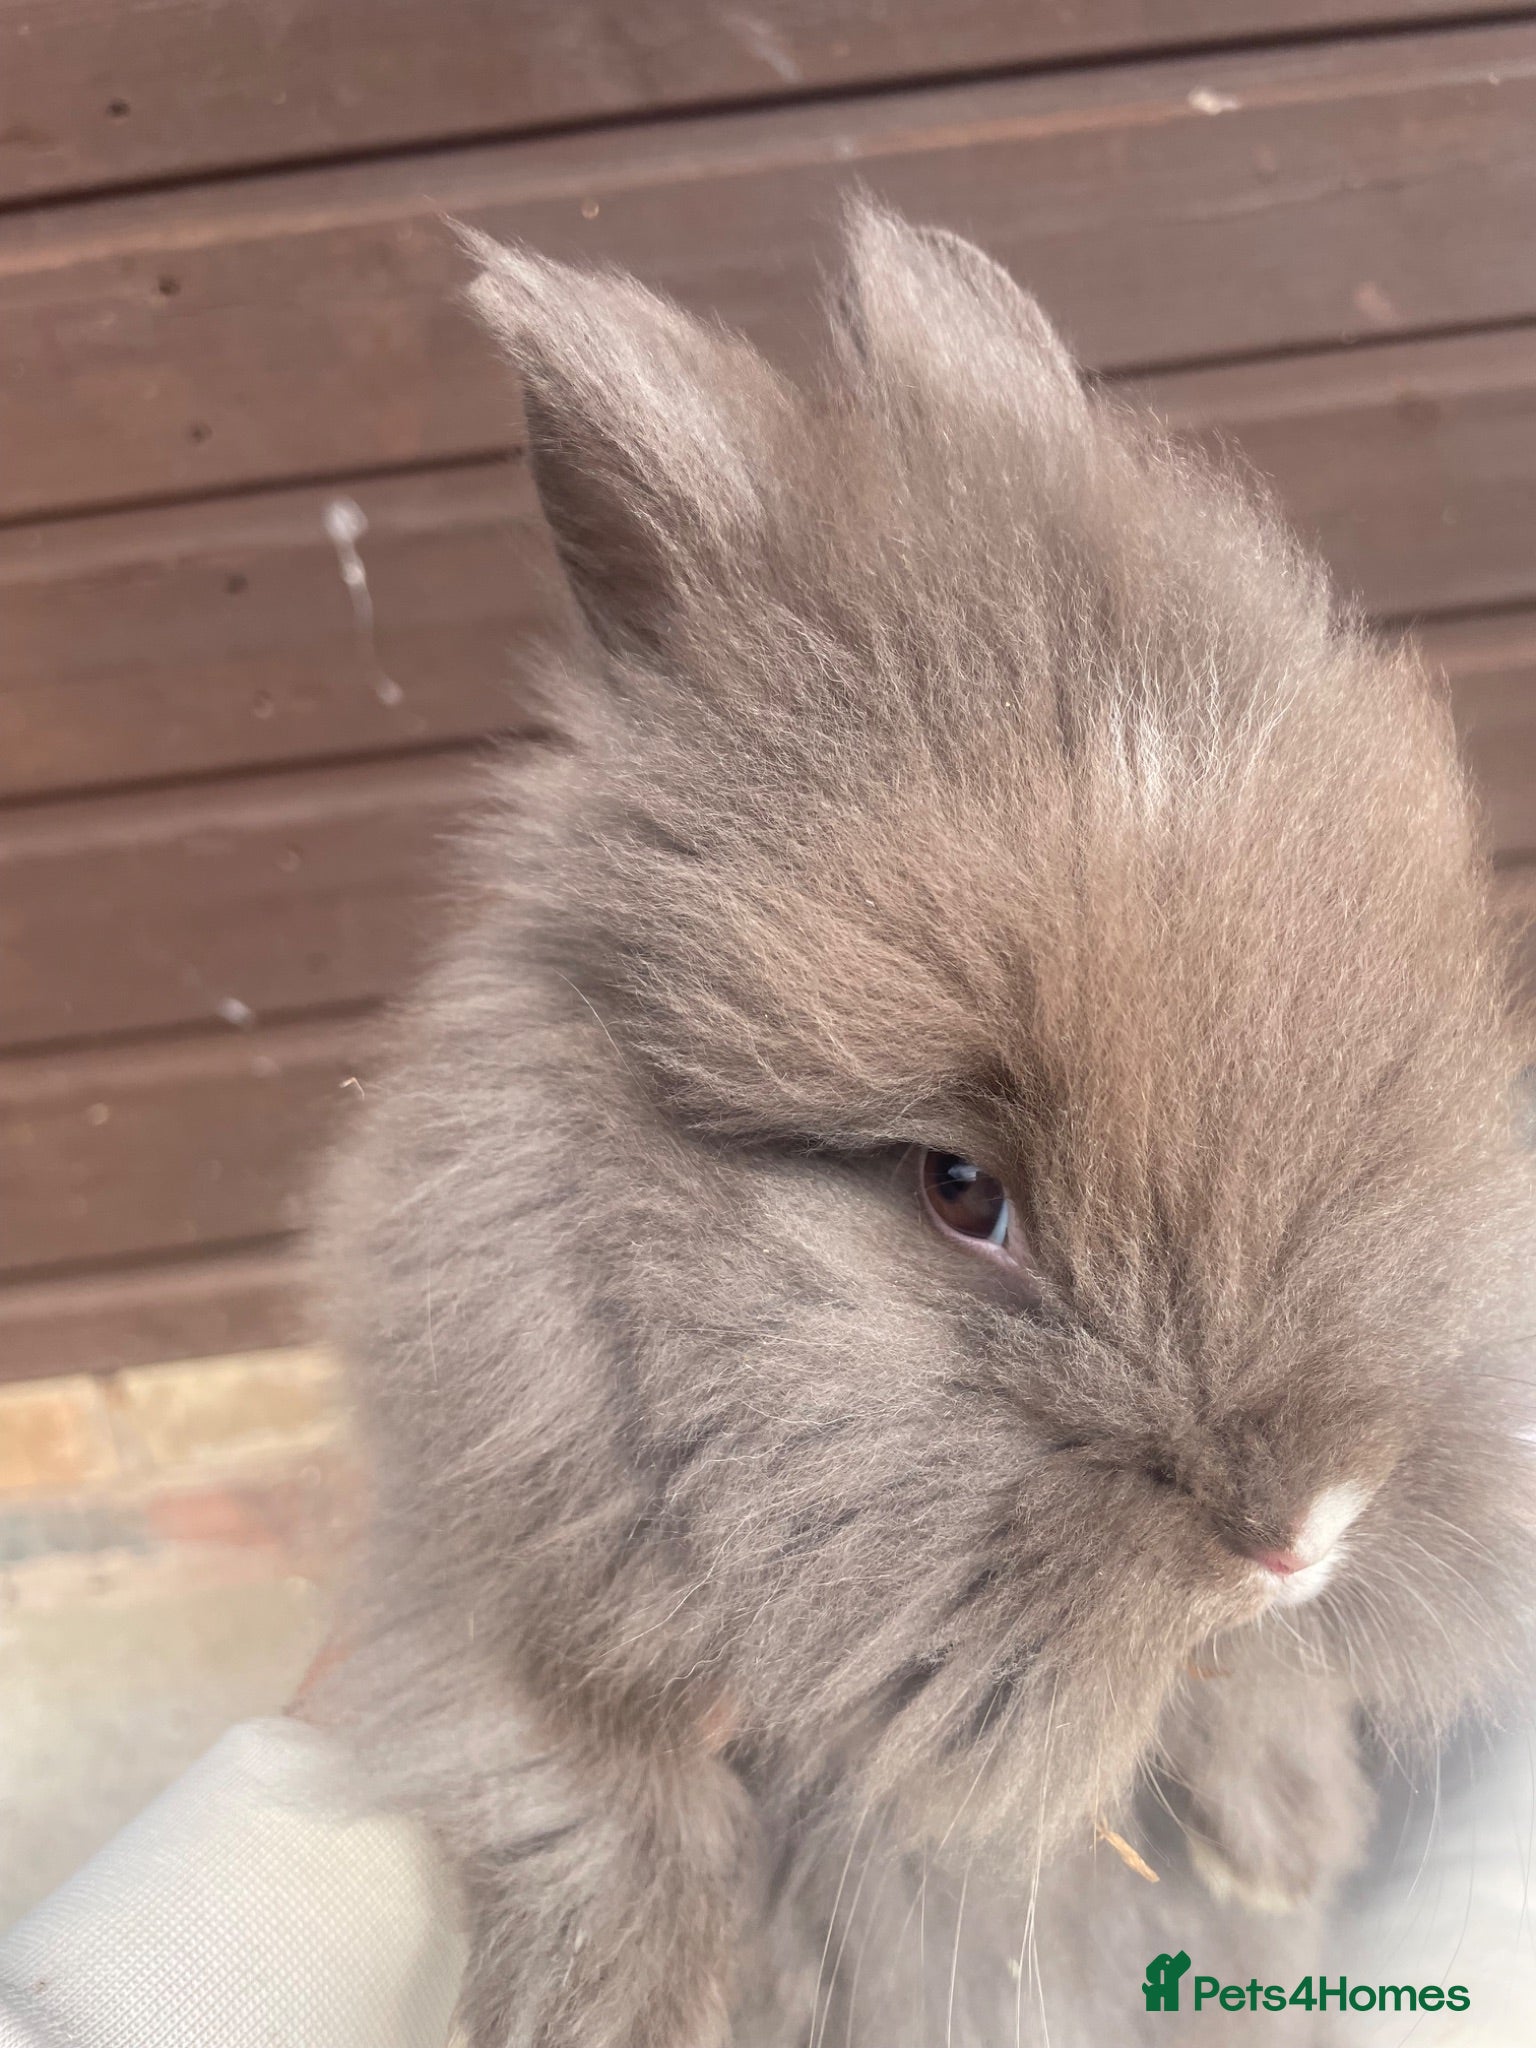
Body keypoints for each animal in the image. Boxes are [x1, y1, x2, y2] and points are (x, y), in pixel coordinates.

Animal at [315, 201, 1536, 2046]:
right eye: (961, 1189)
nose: (1309, 1524)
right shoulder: (493, 1550)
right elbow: (572, 1770)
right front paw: (611, 2009)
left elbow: (1230, 1691)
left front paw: (1280, 1842)